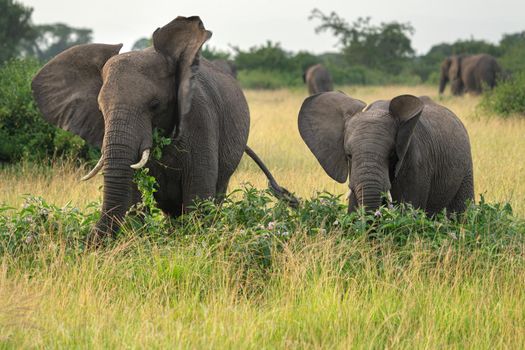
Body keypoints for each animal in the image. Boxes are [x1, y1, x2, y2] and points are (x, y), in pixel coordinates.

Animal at [32, 17, 294, 241]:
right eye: (99, 108)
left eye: (155, 105)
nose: (85, 240)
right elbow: (135, 198)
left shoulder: (200, 119)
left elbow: (198, 197)